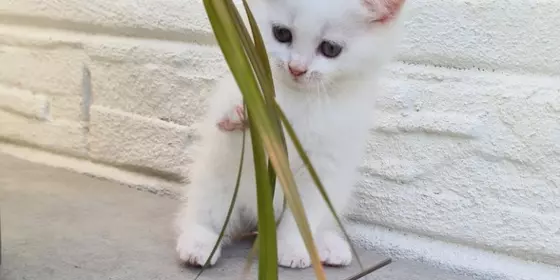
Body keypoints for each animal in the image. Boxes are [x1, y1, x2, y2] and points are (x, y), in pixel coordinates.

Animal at [175, 0, 406, 268]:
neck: (300, 99)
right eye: (282, 33)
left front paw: (294, 248)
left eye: (330, 48)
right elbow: (232, 123)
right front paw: (236, 113)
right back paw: (199, 243)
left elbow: (303, 216)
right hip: (215, 180)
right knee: (205, 212)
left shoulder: (324, 166)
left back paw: (328, 246)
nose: (296, 68)